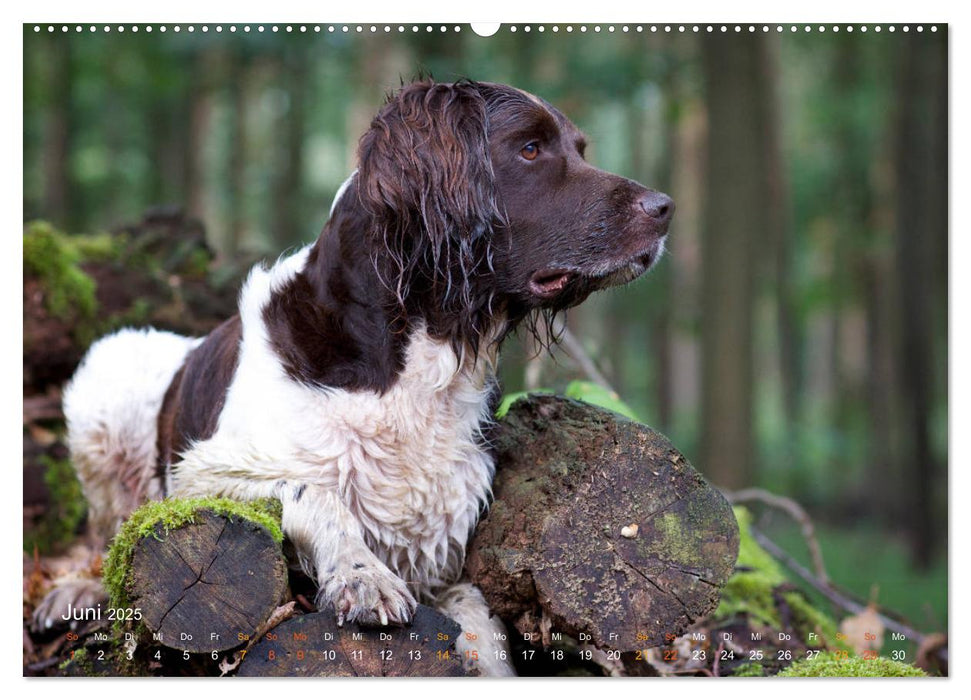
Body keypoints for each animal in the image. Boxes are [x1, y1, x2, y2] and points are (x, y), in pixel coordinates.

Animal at [36, 79, 676, 676]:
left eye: (578, 148)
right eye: (530, 148)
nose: (664, 207)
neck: (415, 359)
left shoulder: (444, 555)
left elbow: (483, 629)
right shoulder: (199, 475)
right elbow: (313, 490)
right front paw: (361, 574)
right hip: (110, 373)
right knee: (108, 531)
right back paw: (77, 589)